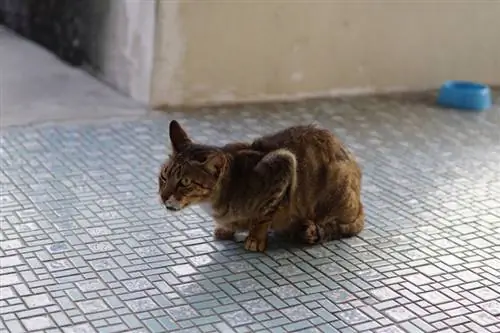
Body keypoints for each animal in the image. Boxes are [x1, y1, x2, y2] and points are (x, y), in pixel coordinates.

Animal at [158, 120, 366, 252]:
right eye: (164, 176)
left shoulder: (284, 162)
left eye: (185, 182)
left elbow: (265, 214)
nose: (163, 196)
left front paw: (255, 238)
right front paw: (227, 229)